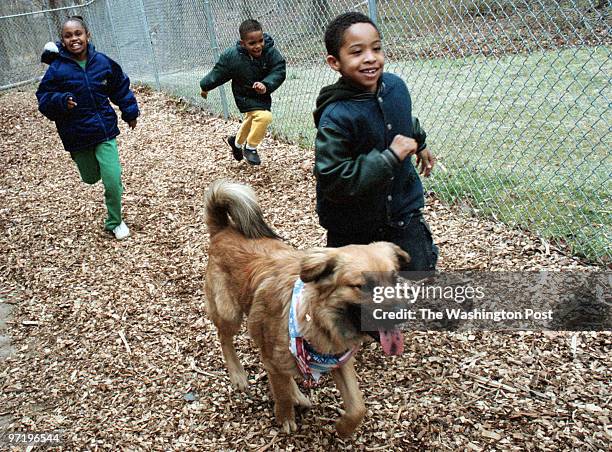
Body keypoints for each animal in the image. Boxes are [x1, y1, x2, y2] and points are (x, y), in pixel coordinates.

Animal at [203, 180, 408, 438]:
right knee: (224, 338)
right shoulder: (275, 357)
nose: (402, 314)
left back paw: (298, 394)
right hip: (229, 313)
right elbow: (280, 391)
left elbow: (357, 407)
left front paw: (342, 428)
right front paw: (285, 417)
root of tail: (223, 229)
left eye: (395, 279)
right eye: (363, 286)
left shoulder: (338, 359)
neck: (319, 319)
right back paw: (238, 374)